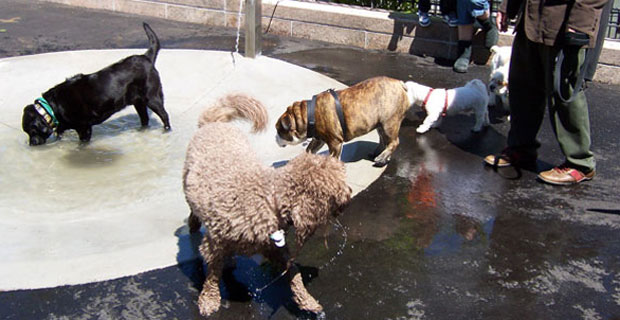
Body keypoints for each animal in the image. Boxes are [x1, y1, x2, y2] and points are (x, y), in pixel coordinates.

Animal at [21, 22, 170, 146]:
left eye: (32, 131)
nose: (31, 144)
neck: (51, 108)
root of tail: (146, 57)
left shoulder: (84, 128)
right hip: (138, 102)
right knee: (145, 119)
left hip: (152, 97)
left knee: (164, 115)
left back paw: (167, 130)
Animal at [182, 93, 352, 318]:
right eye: (336, 190)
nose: (350, 194)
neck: (268, 199)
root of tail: (213, 123)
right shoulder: (215, 245)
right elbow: (212, 275)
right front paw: (209, 300)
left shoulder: (274, 247)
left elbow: (293, 273)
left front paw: (306, 301)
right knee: (192, 212)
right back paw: (193, 225)